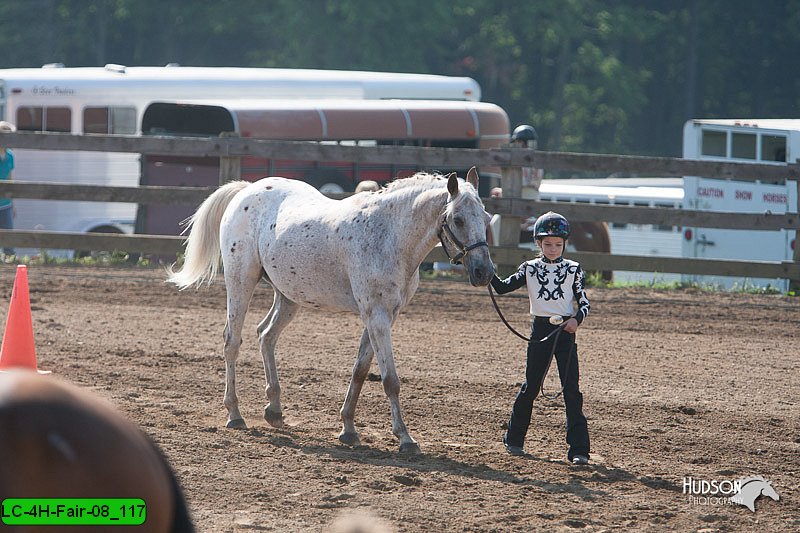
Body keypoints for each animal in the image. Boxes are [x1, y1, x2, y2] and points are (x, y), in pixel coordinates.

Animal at [169, 168, 494, 450]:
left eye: (486, 216)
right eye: (458, 219)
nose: (484, 273)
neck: (388, 235)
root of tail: (246, 191)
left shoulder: (382, 316)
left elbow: (360, 371)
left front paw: (348, 429)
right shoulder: (377, 316)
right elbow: (390, 380)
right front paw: (405, 438)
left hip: (288, 296)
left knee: (266, 335)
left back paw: (274, 409)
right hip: (241, 282)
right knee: (232, 342)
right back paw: (235, 414)